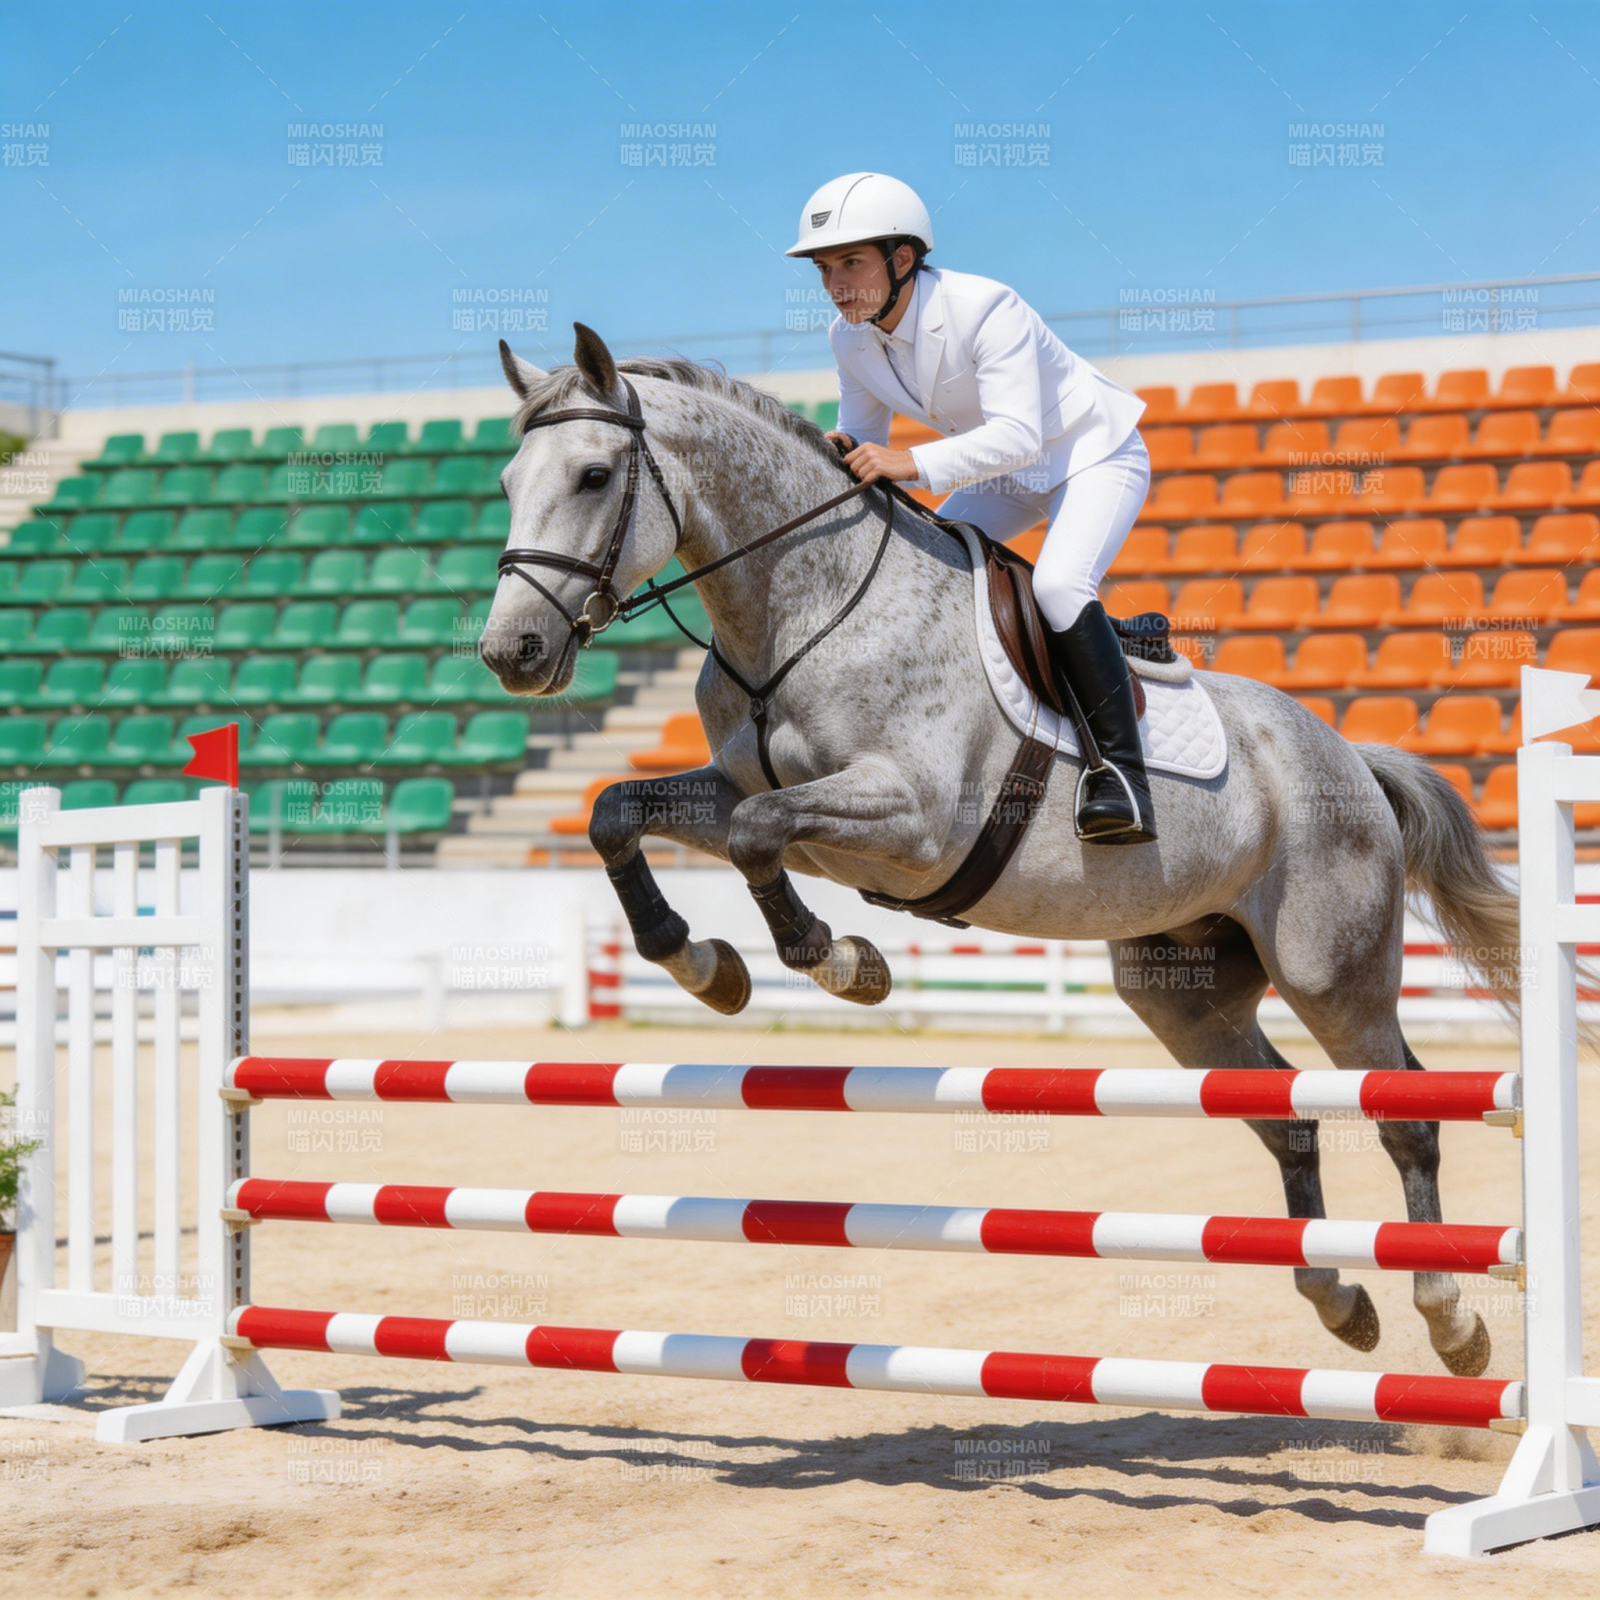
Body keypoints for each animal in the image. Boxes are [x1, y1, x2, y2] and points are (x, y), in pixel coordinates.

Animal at [481, 323, 1522, 1380]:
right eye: (508, 480)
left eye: (595, 475)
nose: (511, 655)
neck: (801, 609)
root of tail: (1351, 754)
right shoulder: (748, 792)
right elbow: (622, 812)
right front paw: (705, 965)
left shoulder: (912, 819)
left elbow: (757, 833)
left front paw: (843, 962)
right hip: (1180, 991)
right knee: (1289, 1117)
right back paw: (1338, 1298)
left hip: (1330, 969)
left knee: (1405, 1113)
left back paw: (1450, 1319)